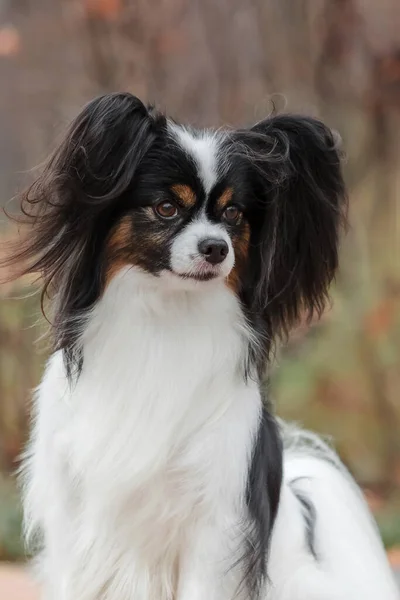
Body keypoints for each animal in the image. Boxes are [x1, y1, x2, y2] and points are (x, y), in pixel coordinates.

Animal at [3, 94, 396, 600]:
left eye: (233, 214)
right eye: (167, 208)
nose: (216, 248)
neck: (168, 318)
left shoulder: (215, 521)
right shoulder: (77, 515)